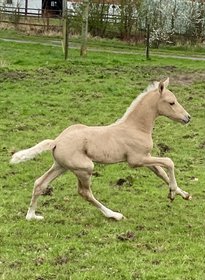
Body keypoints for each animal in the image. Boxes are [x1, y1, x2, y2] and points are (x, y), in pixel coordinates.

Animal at [10, 78, 191, 221]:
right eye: (171, 102)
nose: (187, 118)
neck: (136, 127)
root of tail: (56, 141)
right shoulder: (136, 160)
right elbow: (169, 162)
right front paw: (172, 193)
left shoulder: (146, 157)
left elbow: (161, 173)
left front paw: (183, 194)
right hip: (85, 168)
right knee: (84, 192)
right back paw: (114, 215)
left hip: (61, 166)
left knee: (40, 183)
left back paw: (32, 216)